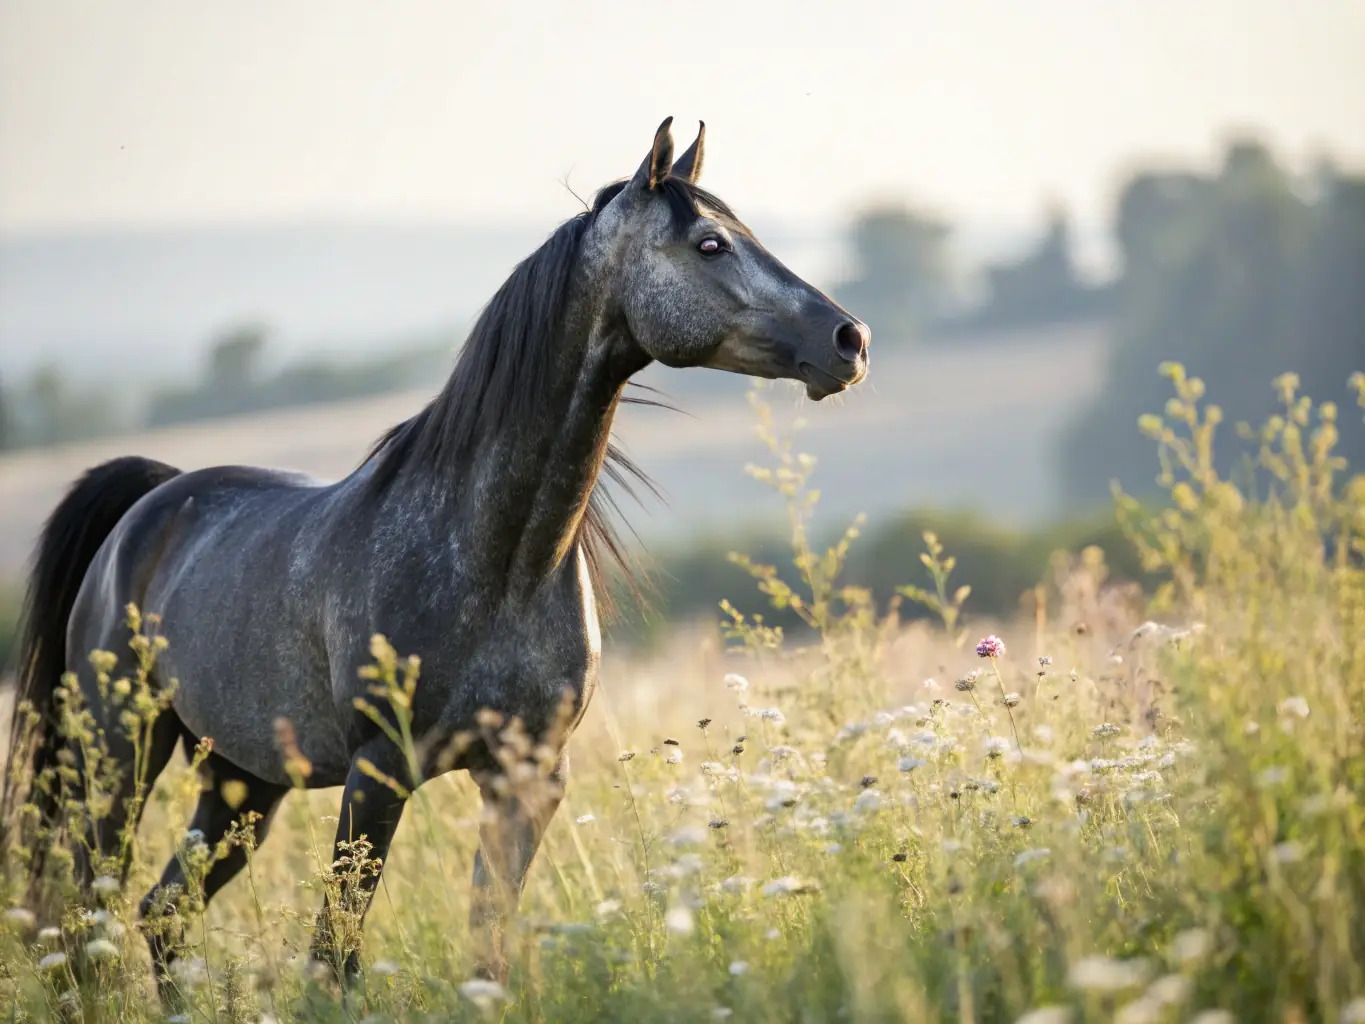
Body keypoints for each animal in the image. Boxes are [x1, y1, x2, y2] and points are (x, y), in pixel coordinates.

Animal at [2, 117, 870, 996]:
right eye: (709, 243)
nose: (849, 340)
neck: (496, 563)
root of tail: (149, 505)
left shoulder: (527, 780)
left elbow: (487, 951)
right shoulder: (379, 771)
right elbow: (334, 955)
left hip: (243, 780)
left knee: (161, 913)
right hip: (118, 756)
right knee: (93, 915)